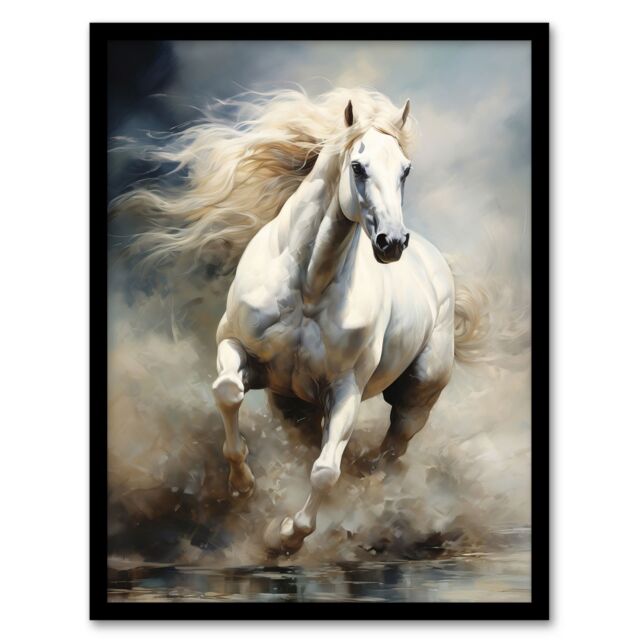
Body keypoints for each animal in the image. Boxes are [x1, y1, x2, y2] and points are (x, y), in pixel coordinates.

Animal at [114, 88, 484, 556]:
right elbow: (228, 391)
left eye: (405, 169)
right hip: (294, 405)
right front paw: (242, 485)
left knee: (390, 454)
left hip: (415, 397)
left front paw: (285, 536)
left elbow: (325, 471)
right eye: (358, 167)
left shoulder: (345, 390)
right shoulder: (238, 350)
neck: (308, 288)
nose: (392, 242)